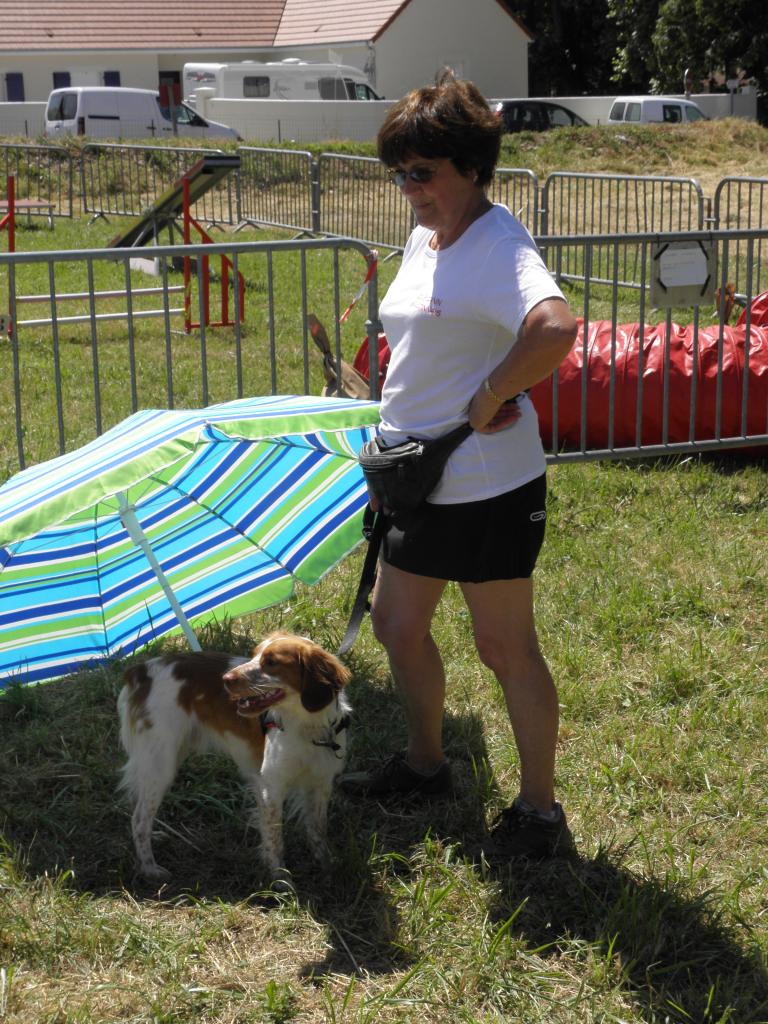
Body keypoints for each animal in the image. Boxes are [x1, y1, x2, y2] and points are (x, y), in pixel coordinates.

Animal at [117, 626, 352, 884]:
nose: (226, 679)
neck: (307, 726)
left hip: (166, 758)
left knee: (138, 805)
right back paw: (149, 868)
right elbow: (275, 837)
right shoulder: (271, 787)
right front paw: (280, 878)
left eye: (271, 662)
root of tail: (140, 670)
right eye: (253, 655)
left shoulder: (321, 783)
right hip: (160, 765)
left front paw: (326, 866)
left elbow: (318, 829)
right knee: (139, 819)